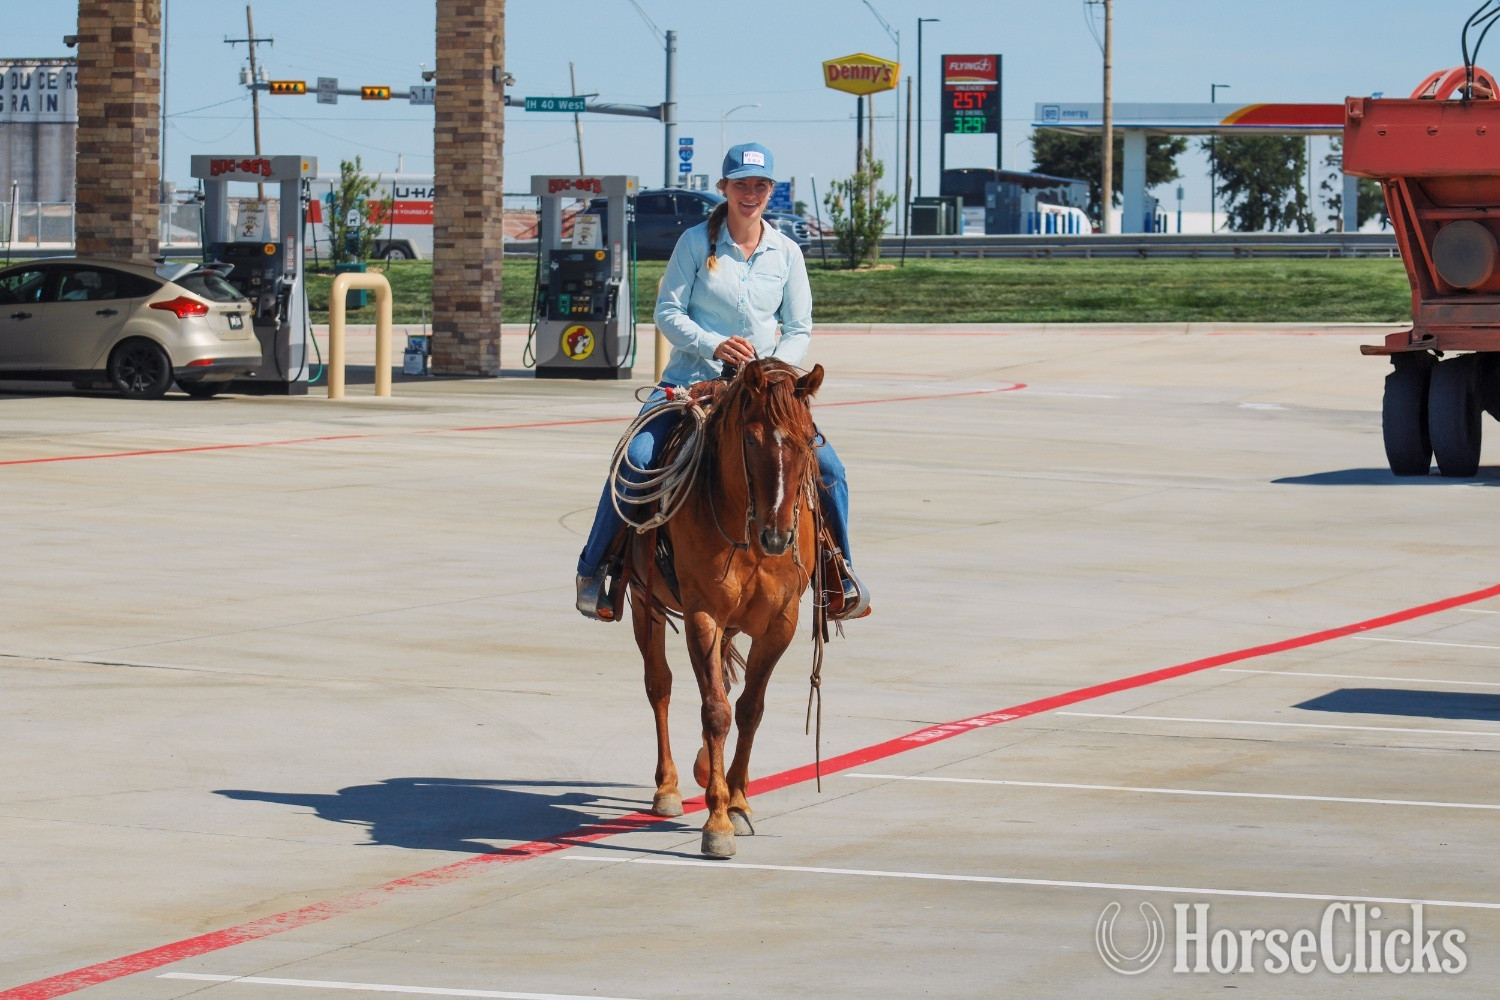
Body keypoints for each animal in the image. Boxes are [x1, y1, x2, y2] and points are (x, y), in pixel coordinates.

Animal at [626, 358, 826, 858]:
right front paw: (716, 822)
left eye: (809, 438)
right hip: (644, 603)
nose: (778, 537)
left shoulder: (782, 622)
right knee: (659, 685)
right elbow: (716, 710)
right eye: (750, 439)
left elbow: (749, 707)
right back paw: (669, 787)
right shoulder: (704, 615)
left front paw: (736, 800)